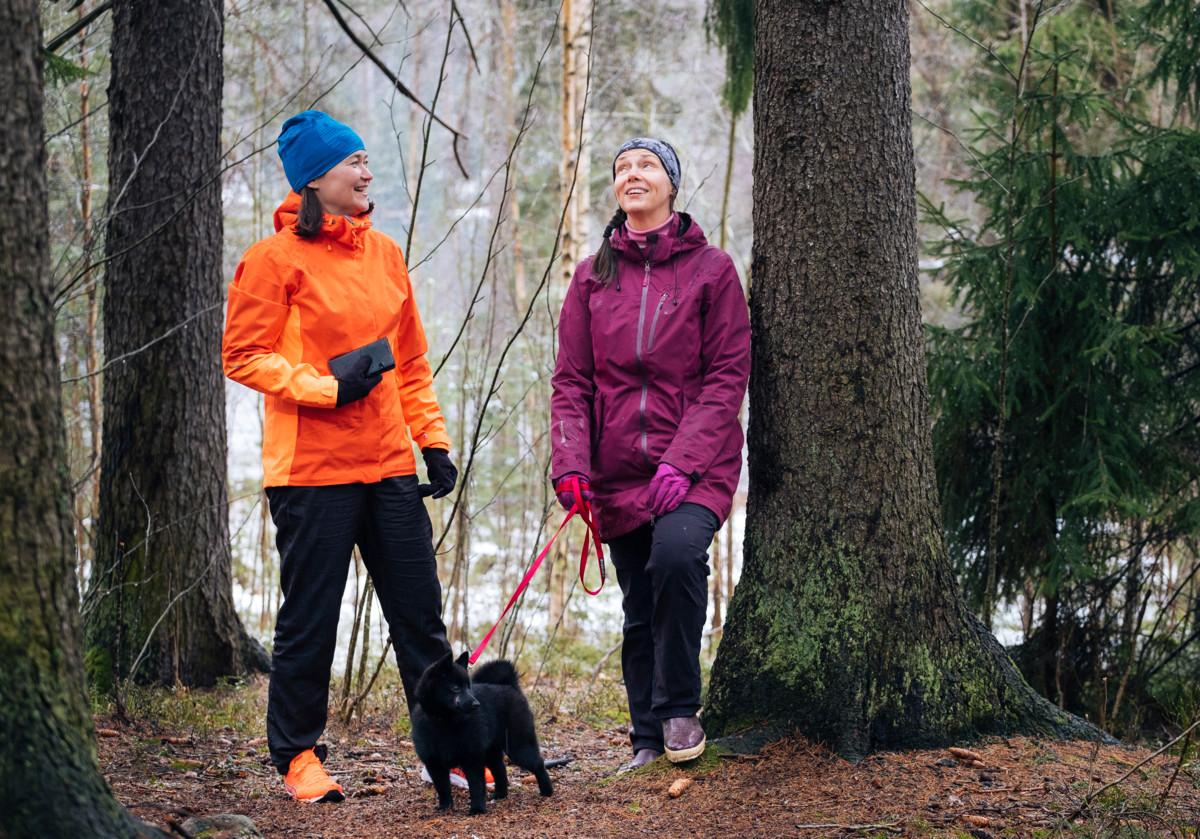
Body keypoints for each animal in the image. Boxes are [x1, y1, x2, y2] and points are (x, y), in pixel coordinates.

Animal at [410, 648, 554, 816]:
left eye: (468, 686)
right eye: (456, 688)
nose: (476, 704)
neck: (444, 722)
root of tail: (509, 685)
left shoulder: (471, 758)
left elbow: (476, 785)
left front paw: (477, 808)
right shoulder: (434, 763)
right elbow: (443, 788)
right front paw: (445, 806)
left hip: (518, 747)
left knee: (538, 763)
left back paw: (547, 790)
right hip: (491, 752)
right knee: (500, 770)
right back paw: (500, 794)